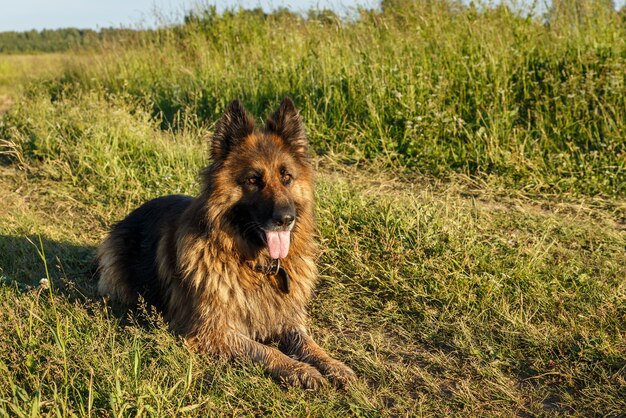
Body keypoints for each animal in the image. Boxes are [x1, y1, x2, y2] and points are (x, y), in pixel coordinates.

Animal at [95, 97, 354, 388]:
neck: (254, 266)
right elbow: (267, 350)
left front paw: (333, 364)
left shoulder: (288, 321)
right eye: (253, 180)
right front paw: (300, 369)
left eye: (287, 177)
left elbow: (310, 344)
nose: (286, 219)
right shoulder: (213, 333)